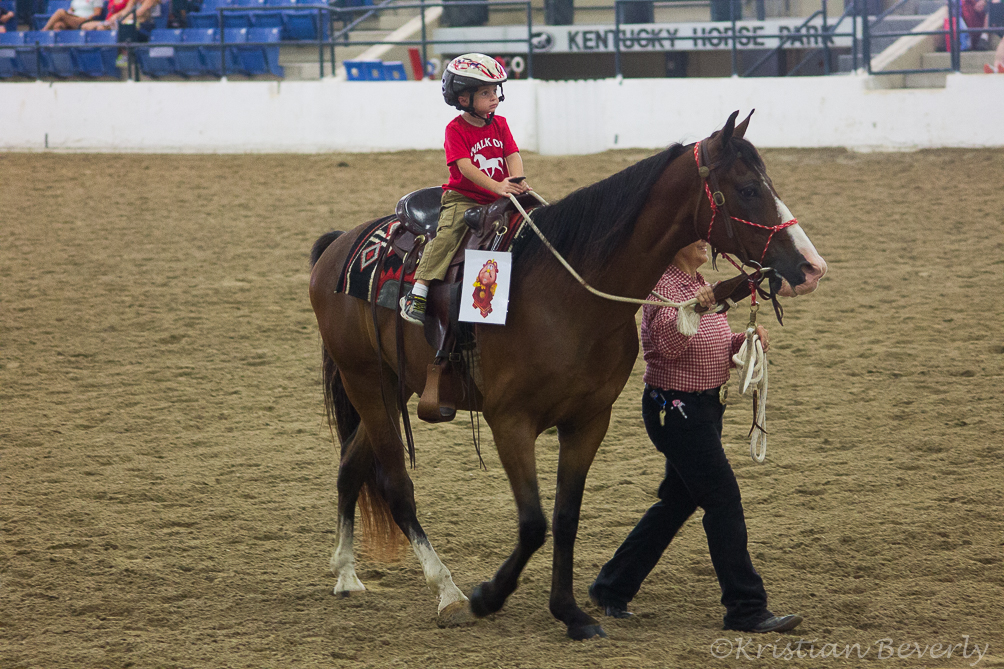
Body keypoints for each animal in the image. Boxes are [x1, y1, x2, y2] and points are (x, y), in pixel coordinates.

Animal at [308, 111, 827, 640]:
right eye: (747, 189)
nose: (811, 267)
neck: (567, 294)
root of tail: (342, 244)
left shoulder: (588, 420)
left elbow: (566, 516)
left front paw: (571, 613)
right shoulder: (510, 422)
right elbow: (534, 522)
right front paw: (488, 596)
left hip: (395, 385)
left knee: (351, 465)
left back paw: (347, 574)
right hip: (365, 381)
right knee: (395, 483)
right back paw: (448, 592)